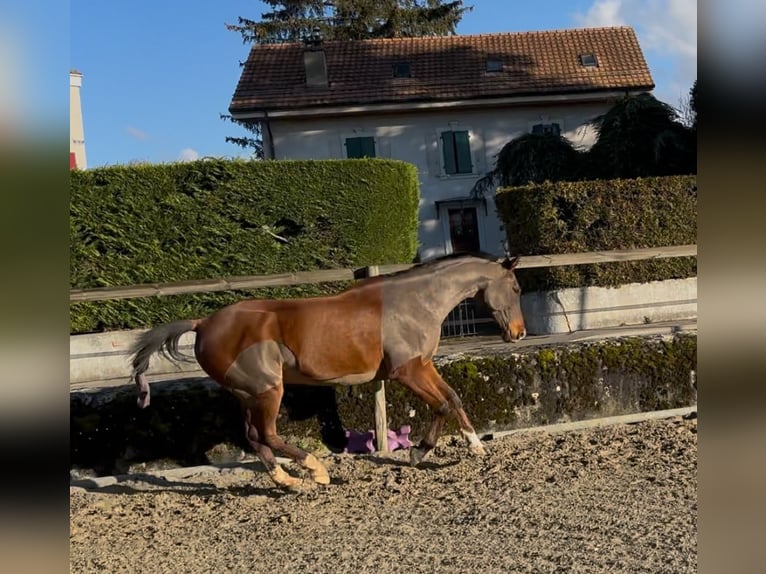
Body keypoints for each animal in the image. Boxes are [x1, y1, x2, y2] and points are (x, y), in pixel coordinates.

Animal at [132, 254, 528, 488]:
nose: (519, 333)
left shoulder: (423, 365)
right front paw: (419, 452)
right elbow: (442, 405)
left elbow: (454, 398)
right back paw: (316, 471)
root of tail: (203, 324)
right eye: (516, 287)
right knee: (268, 434)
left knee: (254, 437)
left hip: (247, 394)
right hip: (267, 390)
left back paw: (287, 482)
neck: (416, 303)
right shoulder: (406, 371)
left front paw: (476, 446)